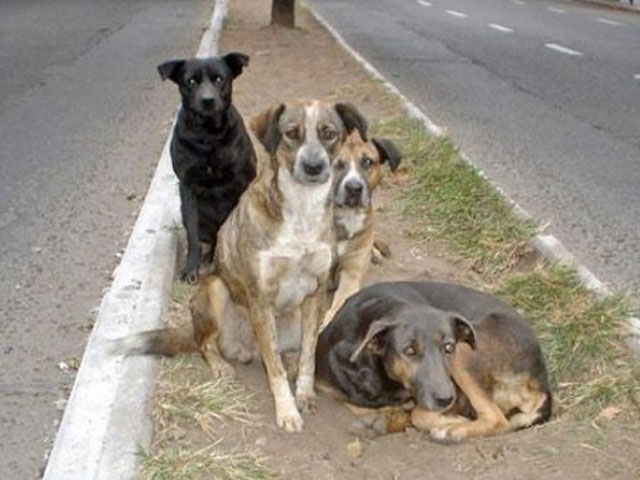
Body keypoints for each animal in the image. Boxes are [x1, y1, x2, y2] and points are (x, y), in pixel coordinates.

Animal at [119, 100, 370, 432]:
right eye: (291, 133)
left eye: (329, 133)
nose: (314, 167)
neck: (302, 210)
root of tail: (245, 347)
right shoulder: (260, 297)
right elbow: (274, 369)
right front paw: (287, 411)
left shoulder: (315, 294)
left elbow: (308, 356)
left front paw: (304, 393)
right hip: (215, 290)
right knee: (205, 343)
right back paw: (221, 365)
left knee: (290, 351)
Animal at [159, 53, 256, 282]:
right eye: (191, 82)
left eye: (219, 79)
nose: (207, 100)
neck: (208, 135)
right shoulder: (187, 186)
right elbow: (192, 235)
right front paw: (191, 268)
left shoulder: (241, 181)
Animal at [318, 282, 552, 442]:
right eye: (409, 351)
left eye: (448, 347)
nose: (446, 399)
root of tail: (542, 382)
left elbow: (418, 414)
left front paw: (451, 422)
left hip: (465, 353)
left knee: (498, 420)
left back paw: (452, 430)